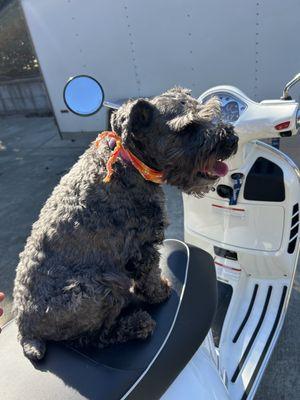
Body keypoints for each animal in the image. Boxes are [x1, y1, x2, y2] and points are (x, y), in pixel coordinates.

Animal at [11, 86, 238, 360]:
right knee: (94, 338)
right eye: (187, 128)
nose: (231, 139)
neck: (129, 162)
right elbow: (150, 275)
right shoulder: (142, 245)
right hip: (96, 289)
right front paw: (160, 293)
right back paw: (137, 325)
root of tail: (25, 330)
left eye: (210, 112)